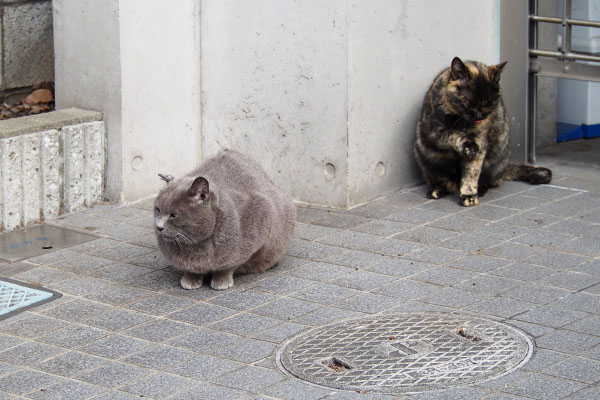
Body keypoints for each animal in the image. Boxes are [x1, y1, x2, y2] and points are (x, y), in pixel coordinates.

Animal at [154, 150, 296, 290]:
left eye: (174, 215)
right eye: (158, 209)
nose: (159, 227)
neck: (195, 245)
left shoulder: (262, 212)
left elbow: (229, 264)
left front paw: (221, 280)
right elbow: (191, 270)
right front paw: (190, 278)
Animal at [414, 57, 552, 206]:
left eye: (491, 102)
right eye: (468, 102)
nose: (480, 115)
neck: (462, 121)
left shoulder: (480, 143)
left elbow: (472, 172)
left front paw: (469, 195)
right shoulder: (433, 132)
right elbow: (452, 134)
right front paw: (466, 144)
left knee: (490, 181)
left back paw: (479, 189)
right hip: (423, 155)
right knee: (437, 178)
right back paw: (436, 189)